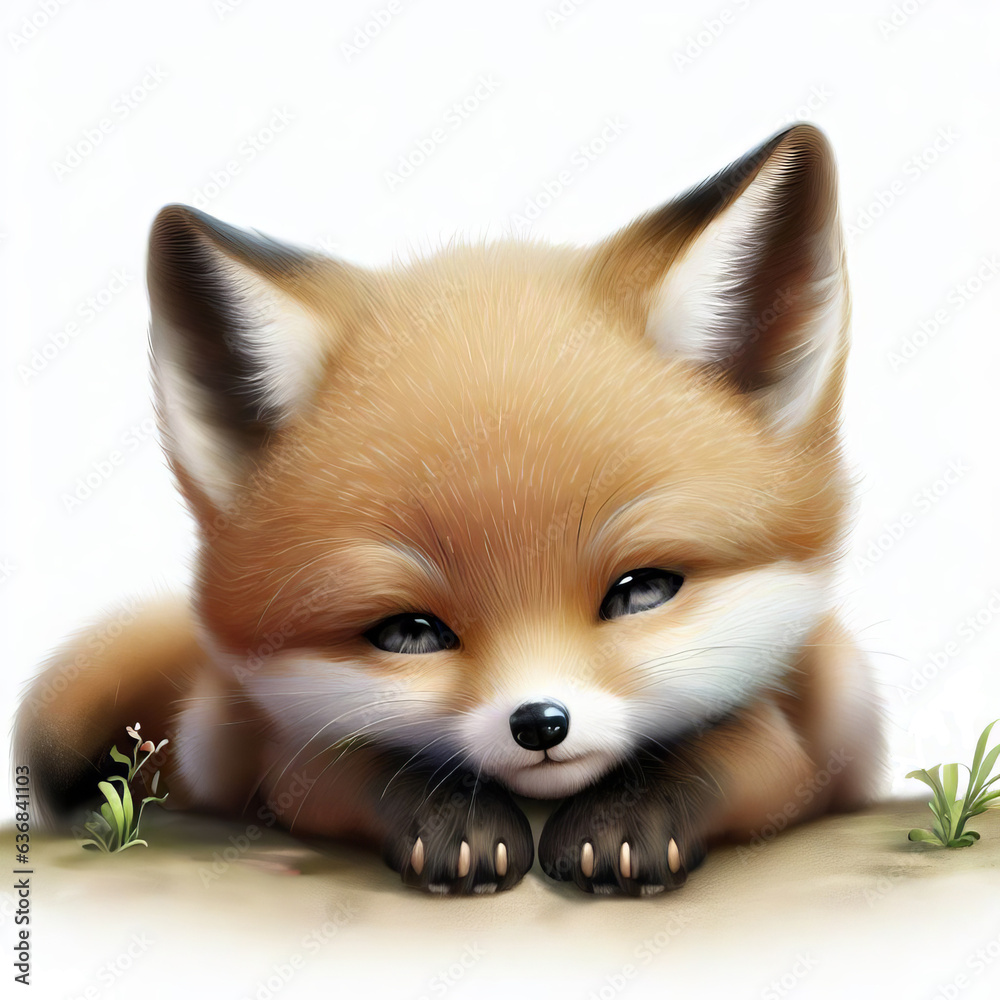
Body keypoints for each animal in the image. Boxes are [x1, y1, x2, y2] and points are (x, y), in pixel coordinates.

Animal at [15, 123, 885, 896]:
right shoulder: (274, 752)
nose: (541, 723)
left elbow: (742, 745)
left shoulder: (820, 730)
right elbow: (354, 763)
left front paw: (628, 822)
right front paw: (454, 823)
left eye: (642, 590)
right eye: (408, 632)